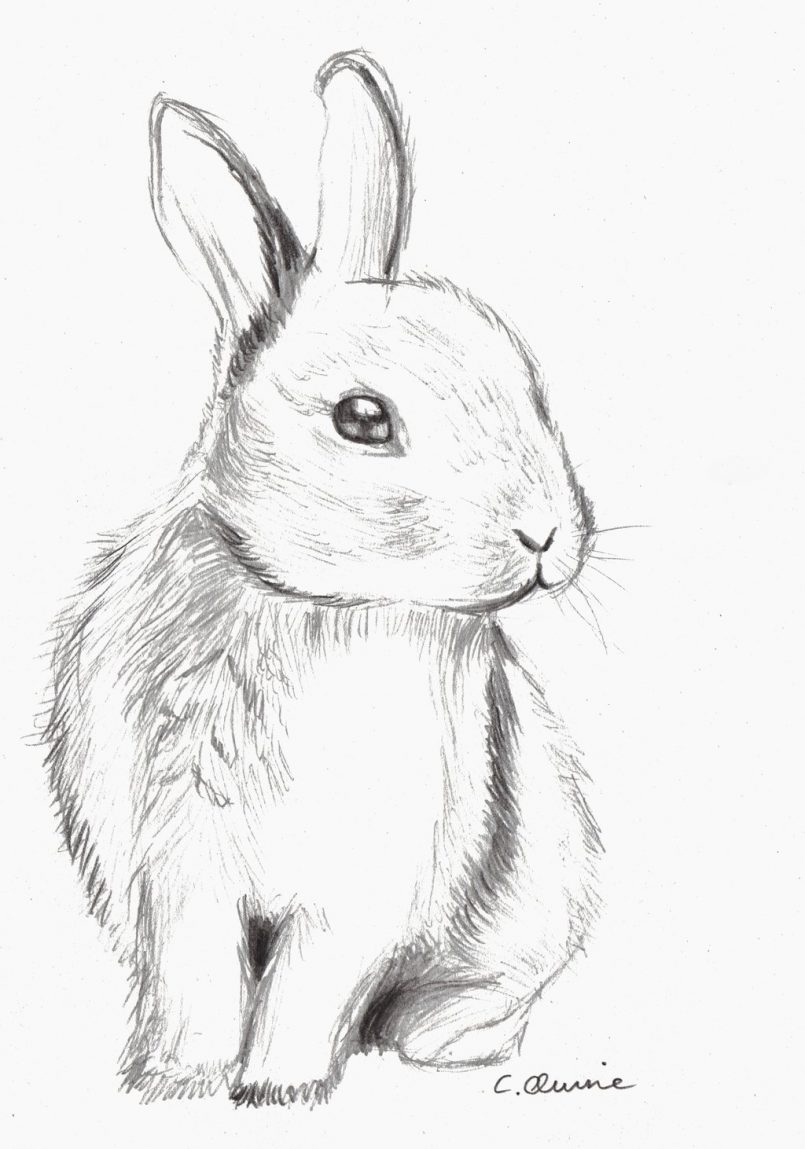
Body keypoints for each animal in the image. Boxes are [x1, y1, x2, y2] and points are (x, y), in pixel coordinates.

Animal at [44, 49, 602, 1106]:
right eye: (361, 419)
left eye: (522, 378)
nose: (547, 534)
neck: (304, 601)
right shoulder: (178, 869)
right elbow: (199, 975)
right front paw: (178, 1079)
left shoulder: (359, 887)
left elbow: (311, 980)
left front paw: (277, 1087)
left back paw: (438, 1038)